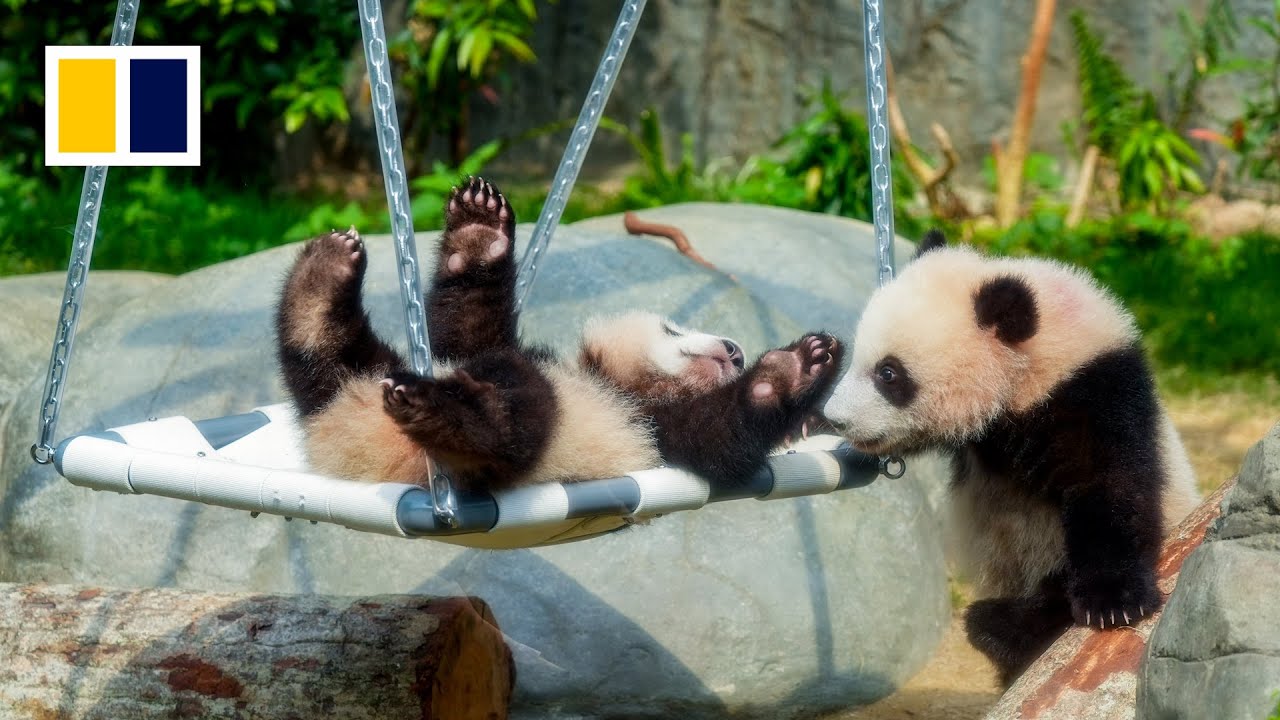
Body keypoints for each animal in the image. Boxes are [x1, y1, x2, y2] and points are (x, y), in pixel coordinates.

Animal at [275, 176, 842, 495]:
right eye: (672, 326)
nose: (735, 351)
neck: (625, 385)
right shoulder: (509, 350)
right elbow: (466, 334)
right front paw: (478, 229)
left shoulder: (653, 434)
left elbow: (718, 437)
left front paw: (792, 371)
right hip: (365, 380)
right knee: (332, 361)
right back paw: (318, 282)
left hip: (519, 447)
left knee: (520, 415)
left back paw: (446, 411)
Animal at [821, 229, 1200, 686]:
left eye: (889, 373)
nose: (835, 418)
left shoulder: (1093, 392)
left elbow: (1110, 483)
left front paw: (1113, 601)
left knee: (1048, 599)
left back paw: (1000, 626)